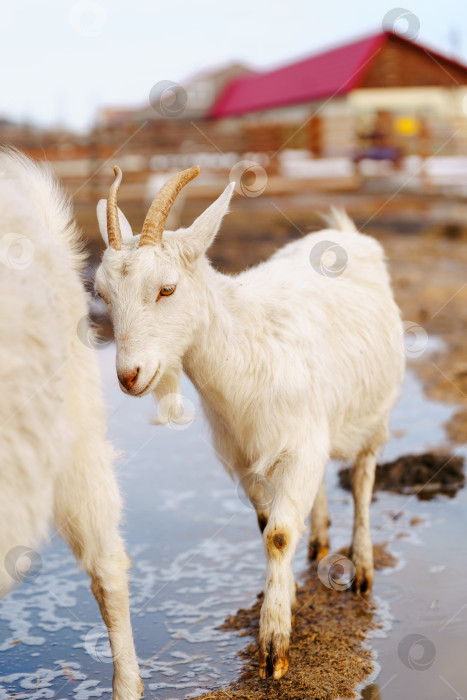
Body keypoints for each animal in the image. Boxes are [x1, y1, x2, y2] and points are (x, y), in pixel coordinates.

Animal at [95, 167, 406, 680]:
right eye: (102, 294)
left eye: (167, 288)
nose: (129, 375)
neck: (249, 350)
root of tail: (344, 233)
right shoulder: (245, 456)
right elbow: (266, 527)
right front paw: (286, 598)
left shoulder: (300, 444)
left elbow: (278, 535)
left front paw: (274, 648)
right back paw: (319, 542)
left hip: (375, 414)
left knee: (363, 479)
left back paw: (361, 570)